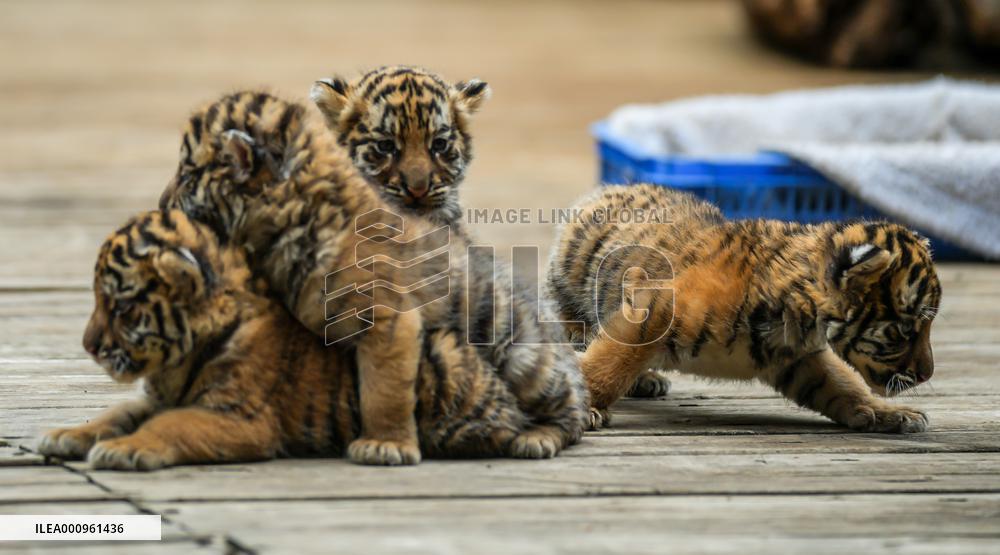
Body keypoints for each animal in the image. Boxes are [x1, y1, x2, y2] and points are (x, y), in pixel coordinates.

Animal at [38, 210, 540, 470]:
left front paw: (125, 449)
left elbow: (173, 425)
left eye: (121, 308)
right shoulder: (156, 398)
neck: (180, 358)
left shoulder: (242, 418)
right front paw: (67, 434)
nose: (89, 346)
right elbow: (116, 413)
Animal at [158, 90, 588, 465]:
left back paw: (537, 437)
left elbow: (384, 390)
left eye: (188, 175)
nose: (162, 202)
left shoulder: (389, 321)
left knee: (572, 408)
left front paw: (386, 445)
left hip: (523, 355)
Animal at [548, 184, 941, 432]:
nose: (927, 374)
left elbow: (842, 385)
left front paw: (887, 414)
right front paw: (588, 404)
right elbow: (610, 364)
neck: (802, 319)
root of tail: (606, 189)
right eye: (905, 330)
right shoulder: (652, 311)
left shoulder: (800, 360)